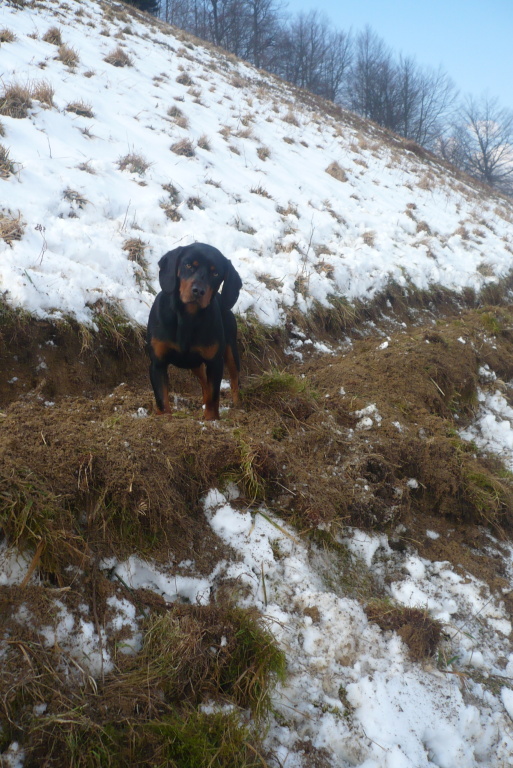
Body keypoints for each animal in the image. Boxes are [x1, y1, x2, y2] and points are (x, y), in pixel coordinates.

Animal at [146, 243, 242, 420]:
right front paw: (165, 419)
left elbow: (214, 396)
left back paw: (238, 405)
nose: (198, 291)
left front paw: (211, 420)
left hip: (230, 349)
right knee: (204, 380)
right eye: (188, 265)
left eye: (215, 273)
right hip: (194, 363)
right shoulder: (157, 363)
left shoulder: (215, 362)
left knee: (234, 377)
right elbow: (162, 399)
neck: (187, 318)